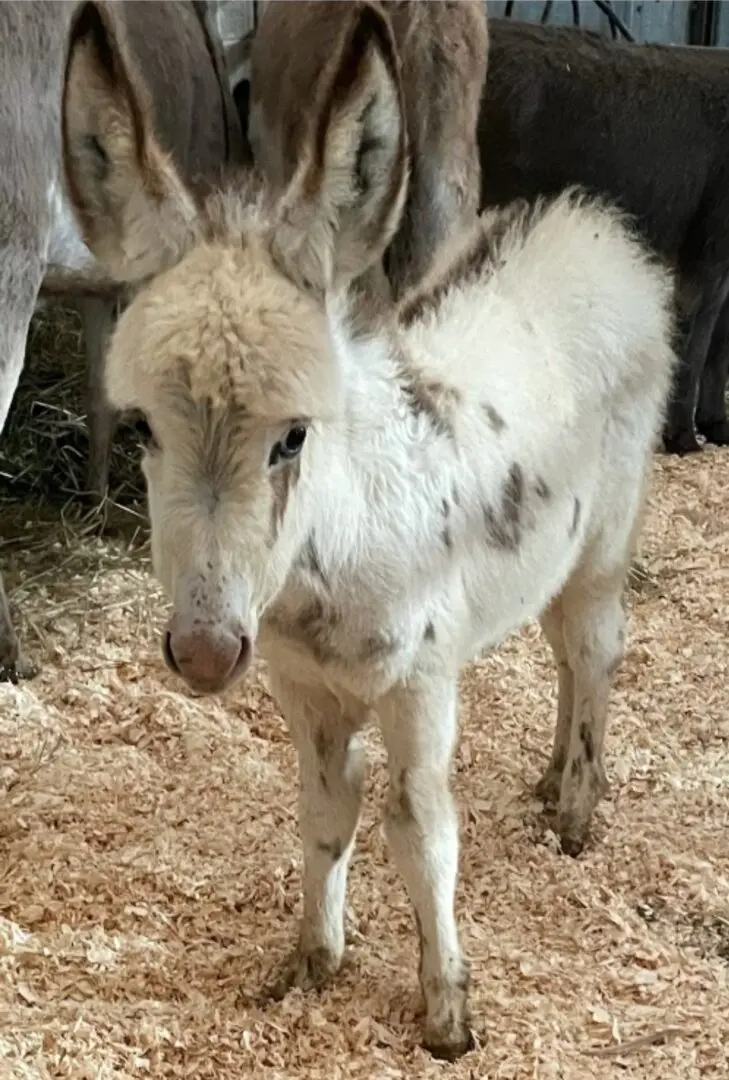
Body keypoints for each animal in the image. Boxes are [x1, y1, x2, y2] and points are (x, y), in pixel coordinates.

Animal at [61, 2, 678, 1062]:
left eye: (293, 436)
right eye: (140, 428)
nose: (205, 653)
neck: (323, 569)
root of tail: (587, 223)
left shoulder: (419, 683)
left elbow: (418, 828)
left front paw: (447, 1014)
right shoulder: (302, 686)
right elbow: (324, 814)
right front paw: (311, 964)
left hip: (605, 534)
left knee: (593, 647)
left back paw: (576, 809)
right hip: (548, 553)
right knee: (560, 652)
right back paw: (550, 778)